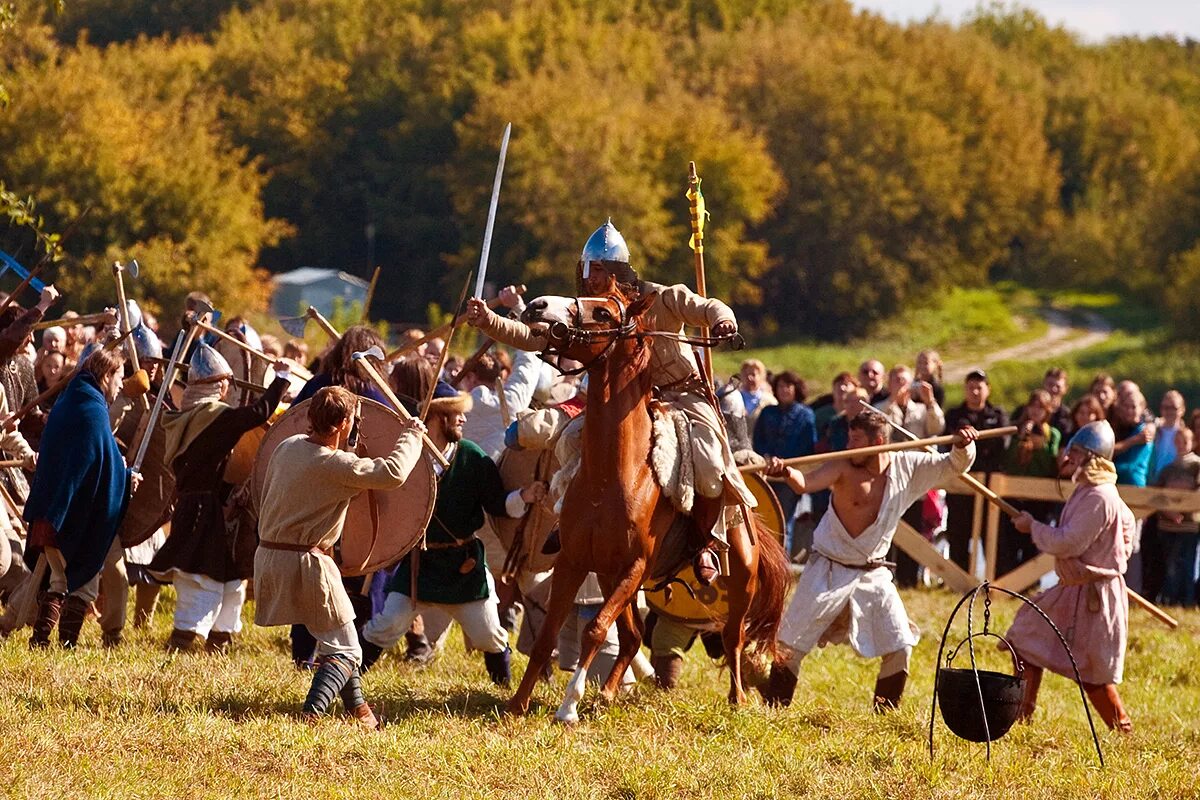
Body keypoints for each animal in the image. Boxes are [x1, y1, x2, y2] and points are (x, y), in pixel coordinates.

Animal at [506, 289, 796, 724]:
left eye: (603, 312)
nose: (538, 306)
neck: (613, 476)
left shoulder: (634, 566)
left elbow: (594, 630)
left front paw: (569, 706)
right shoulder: (575, 562)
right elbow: (548, 635)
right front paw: (518, 703)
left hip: (741, 576)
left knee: (733, 637)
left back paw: (737, 697)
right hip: (609, 576)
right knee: (632, 636)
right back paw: (607, 693)